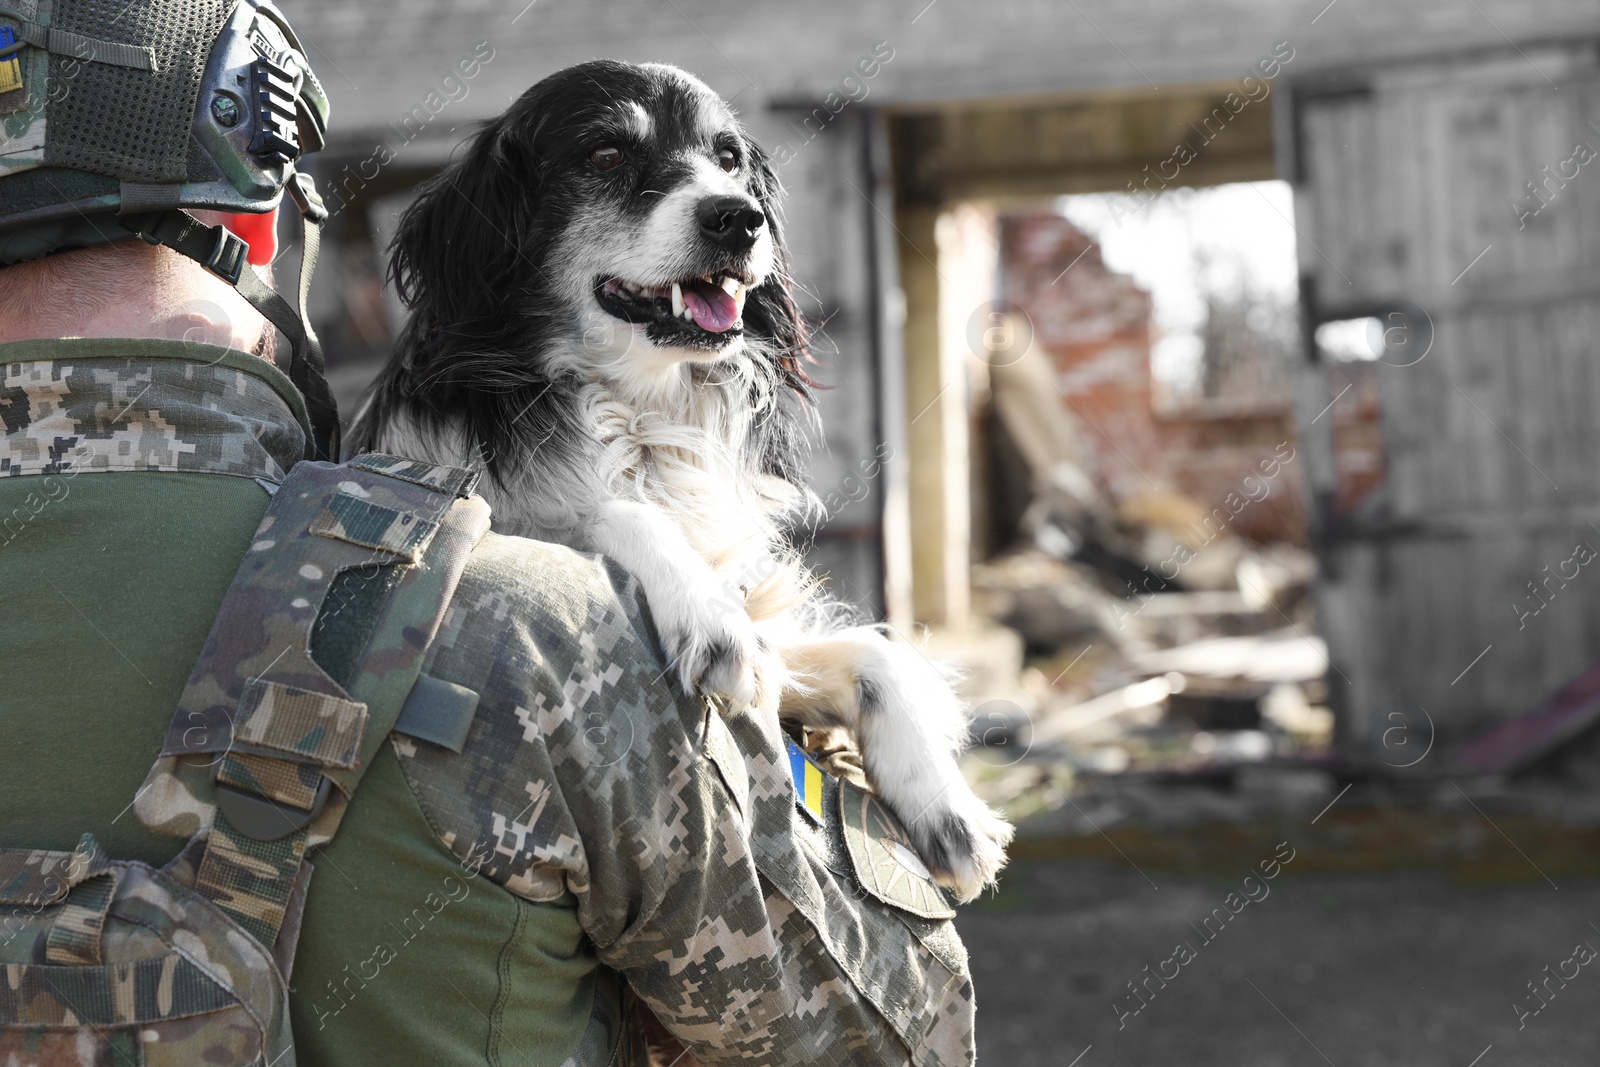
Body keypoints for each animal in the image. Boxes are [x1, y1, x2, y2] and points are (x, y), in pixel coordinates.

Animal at [347, 54, 1011, 895]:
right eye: (605, 154)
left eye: (728, 158)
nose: (739, 219)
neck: (641, 409)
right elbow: (614, 514)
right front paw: (705, 614)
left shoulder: (778, 647)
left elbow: (879, 655)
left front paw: (948, 805)